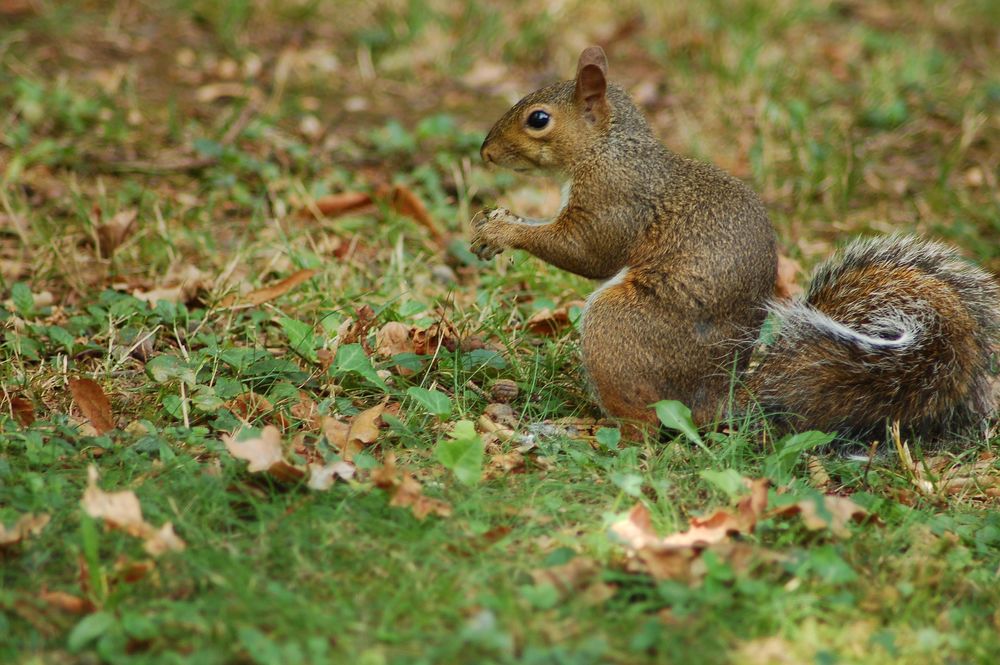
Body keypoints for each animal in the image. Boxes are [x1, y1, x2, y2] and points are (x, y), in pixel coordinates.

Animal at [470, 46, 1000, 438]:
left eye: (539, 119)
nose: (485, 151)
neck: (608, 149)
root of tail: (715, 397)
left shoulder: (615, 200)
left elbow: (587, 251)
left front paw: (503, 230)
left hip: (617, 328)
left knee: (644, 424)